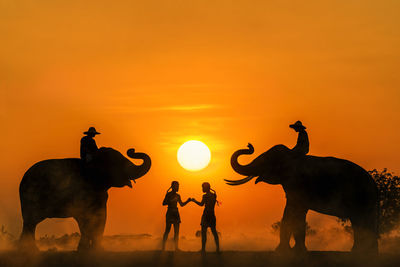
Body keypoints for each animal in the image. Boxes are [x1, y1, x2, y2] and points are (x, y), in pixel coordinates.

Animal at [18, 148, 151, 252]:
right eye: (117, 163)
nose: (131, 150)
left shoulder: (100, 195)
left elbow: (101, 216)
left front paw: (97, 250)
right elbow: (84, 220)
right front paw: (84, 249)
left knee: (31, 222)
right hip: (30, 197)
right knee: (31, 221)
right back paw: (29, 250)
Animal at [225, 146, 378, 254]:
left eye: (265, 160)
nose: (250, 147)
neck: (291, 156)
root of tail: (374, 185)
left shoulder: (299, 185)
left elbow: (295, 211)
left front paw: (291, 251)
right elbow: (291, 212)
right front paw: (288, 250)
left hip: (361, 198)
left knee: (361, 221)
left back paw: (362, 252)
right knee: (362, 222)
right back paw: (364, 252)